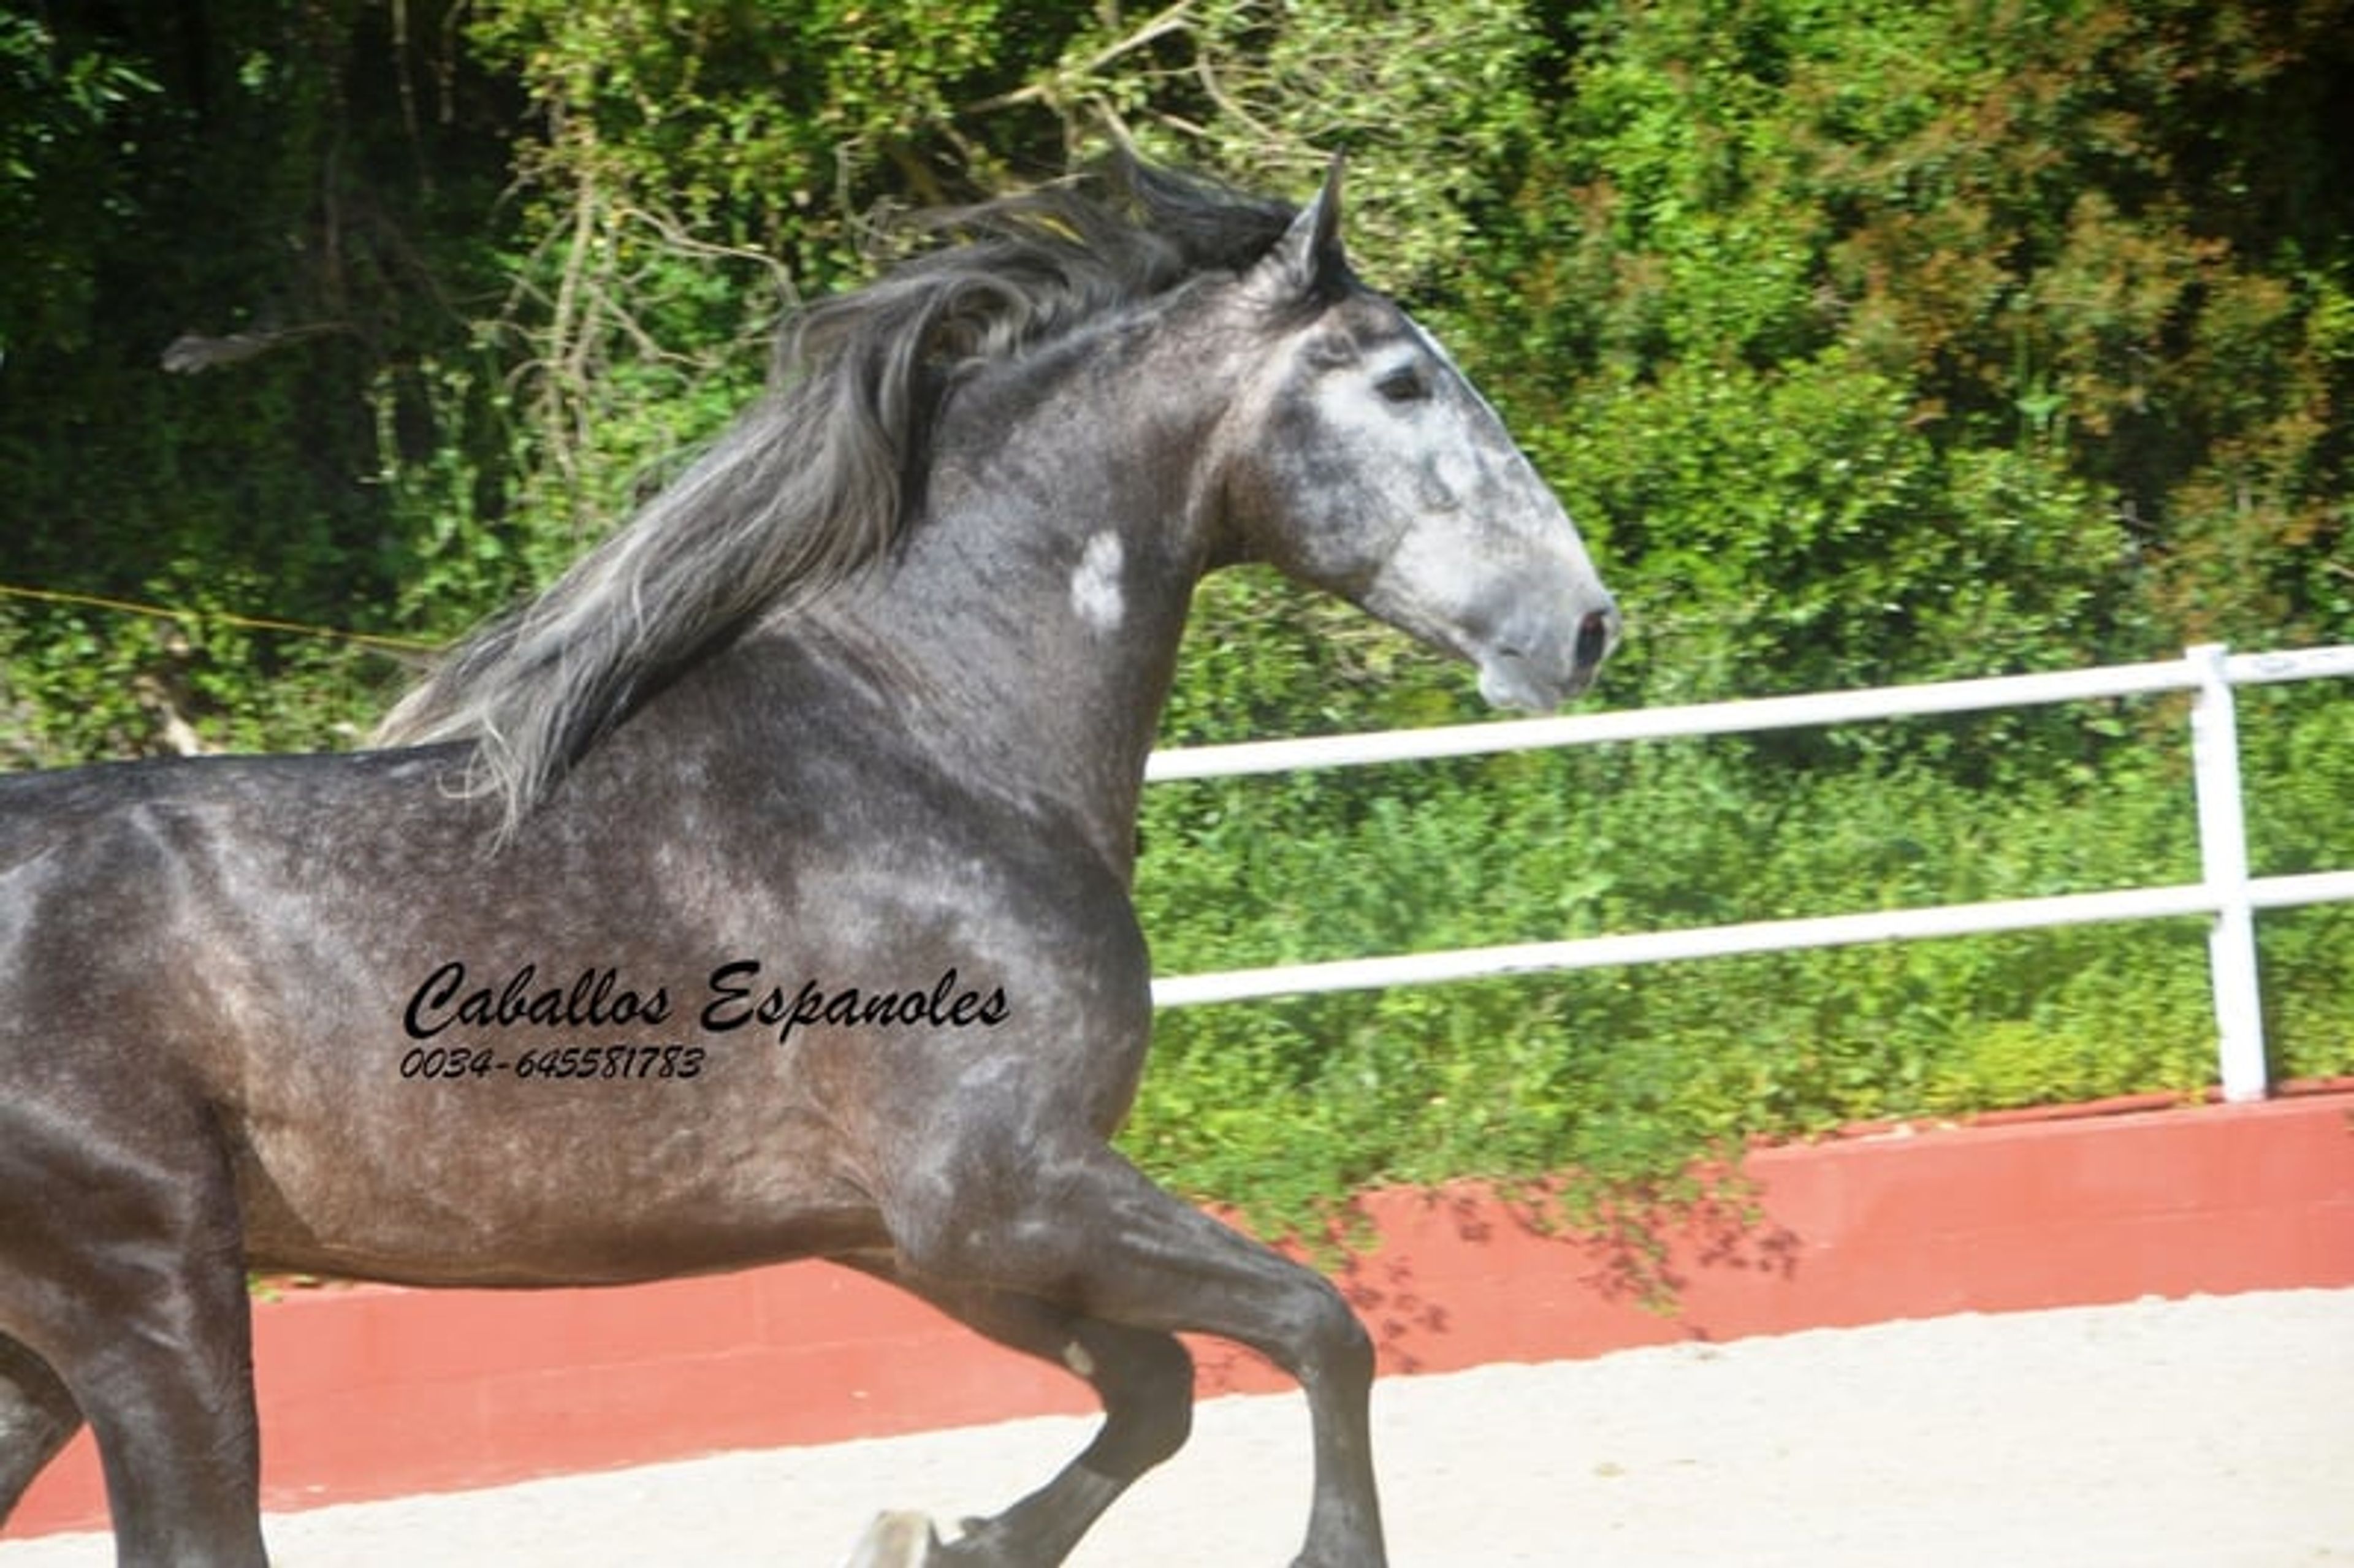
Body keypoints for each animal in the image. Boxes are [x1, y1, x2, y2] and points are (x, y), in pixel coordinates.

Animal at [0, 158, 1618, 1568]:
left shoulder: (905, 1233)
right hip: (152, 1292)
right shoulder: (999, 1188)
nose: (1585, 624)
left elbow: (1158, 1385)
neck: (931, 740)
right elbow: (1317, 1323)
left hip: (47, 1344)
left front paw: (946, 1540)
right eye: (1400, 379)